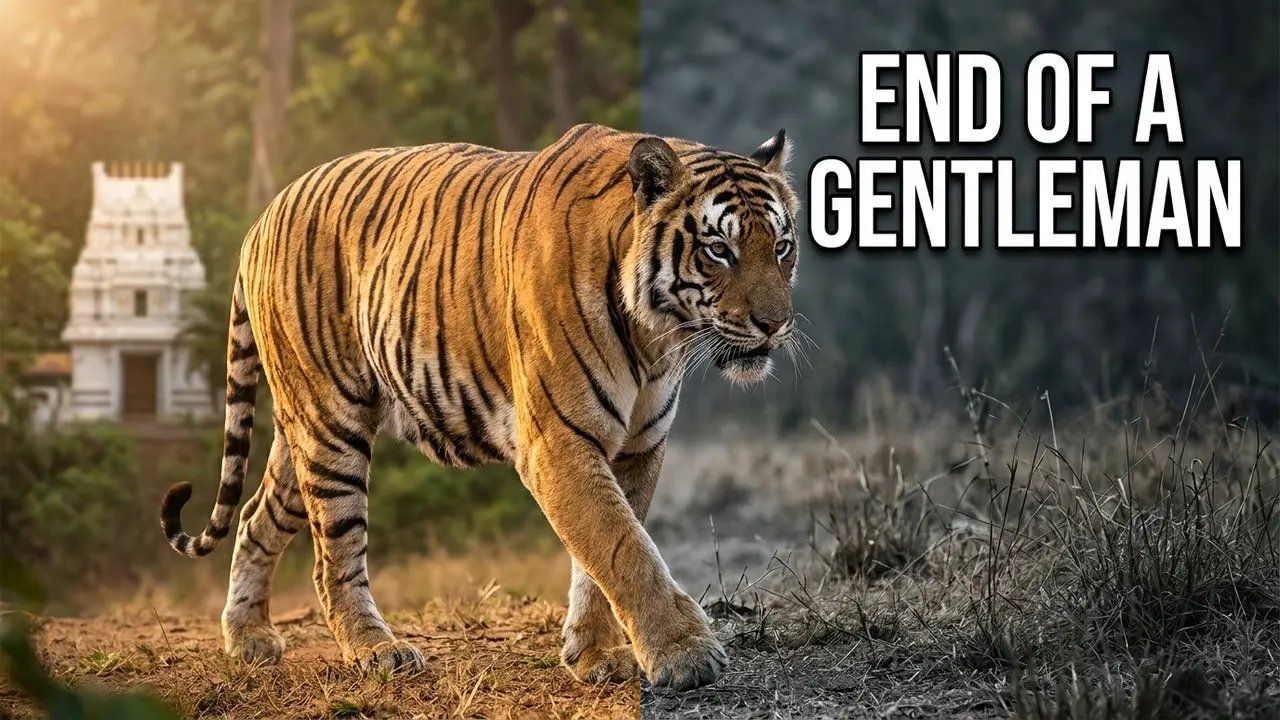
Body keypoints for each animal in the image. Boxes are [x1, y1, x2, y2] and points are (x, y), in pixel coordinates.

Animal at [159, 122, 800, 691]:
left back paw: (248, 638)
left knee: (254, 517)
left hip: (302, 434)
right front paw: (684, 655)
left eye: (782, 247)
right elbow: (625, 548)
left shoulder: (638, 448)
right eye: (719, 250)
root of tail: (263, 217)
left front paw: (595, 655)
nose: (775, 325)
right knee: (334, 553)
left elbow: (602, 556)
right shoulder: (558, 443)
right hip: (330, 424)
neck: (656, 337)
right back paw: (376, 651)